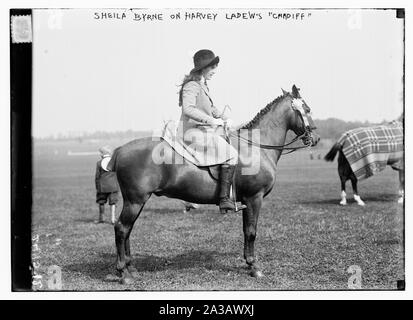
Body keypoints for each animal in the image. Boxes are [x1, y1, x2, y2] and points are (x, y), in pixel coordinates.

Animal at [107, 85, 318, 284]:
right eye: (307, 109)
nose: (315, 139)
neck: (256, 148)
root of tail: (120, 149)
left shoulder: (246, 201)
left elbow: (245, 230)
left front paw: (248, 262)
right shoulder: (254, 198)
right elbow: (251, 232)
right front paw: (254, 266)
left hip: (136, 201)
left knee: (128, 229)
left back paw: (131, 267)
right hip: (135, 201)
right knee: (122, 228)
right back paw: (123, 272)